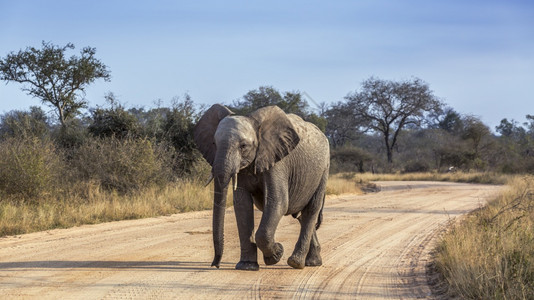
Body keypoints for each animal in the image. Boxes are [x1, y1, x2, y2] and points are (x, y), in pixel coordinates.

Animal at [195, 104, 330, 270]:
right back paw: (312, 262)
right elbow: (242, 205)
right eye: (214, 144)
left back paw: (296, 263)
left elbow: (278, 202)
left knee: (311, 209)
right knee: (301, 215)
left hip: (324, 169)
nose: (216, 264)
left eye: (243, 146)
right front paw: (247, 266)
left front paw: (276, 255)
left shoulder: (278, 162)